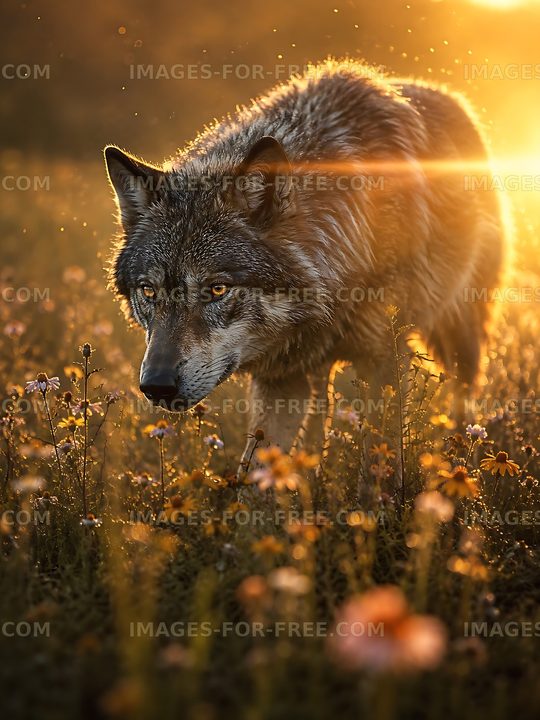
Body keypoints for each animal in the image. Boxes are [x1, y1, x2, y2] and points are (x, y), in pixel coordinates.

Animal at [104, 60, 504, 470]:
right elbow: (257, 474)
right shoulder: (282, 378)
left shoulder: (384, 363)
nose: (156, 385)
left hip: (461, 331)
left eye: (217, 289)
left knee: (464, 394)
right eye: (148, 291)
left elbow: (379, 464)